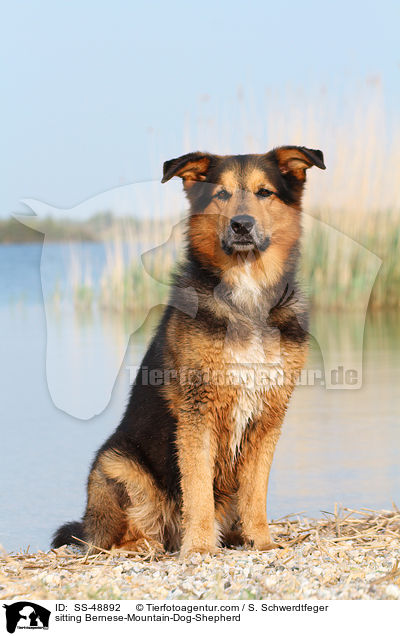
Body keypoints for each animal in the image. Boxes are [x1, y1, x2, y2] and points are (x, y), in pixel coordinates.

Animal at [52, 145, 324, 556]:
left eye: (264, 192)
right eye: (221, 194)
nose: (241, 225)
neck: (246, 296)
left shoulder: (268, 415)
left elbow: (255, 491)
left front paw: (260, 540)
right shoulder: (199, 412)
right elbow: (197, 489)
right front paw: (198, 547)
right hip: (118, 464)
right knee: (117, 539)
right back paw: (145, 545)